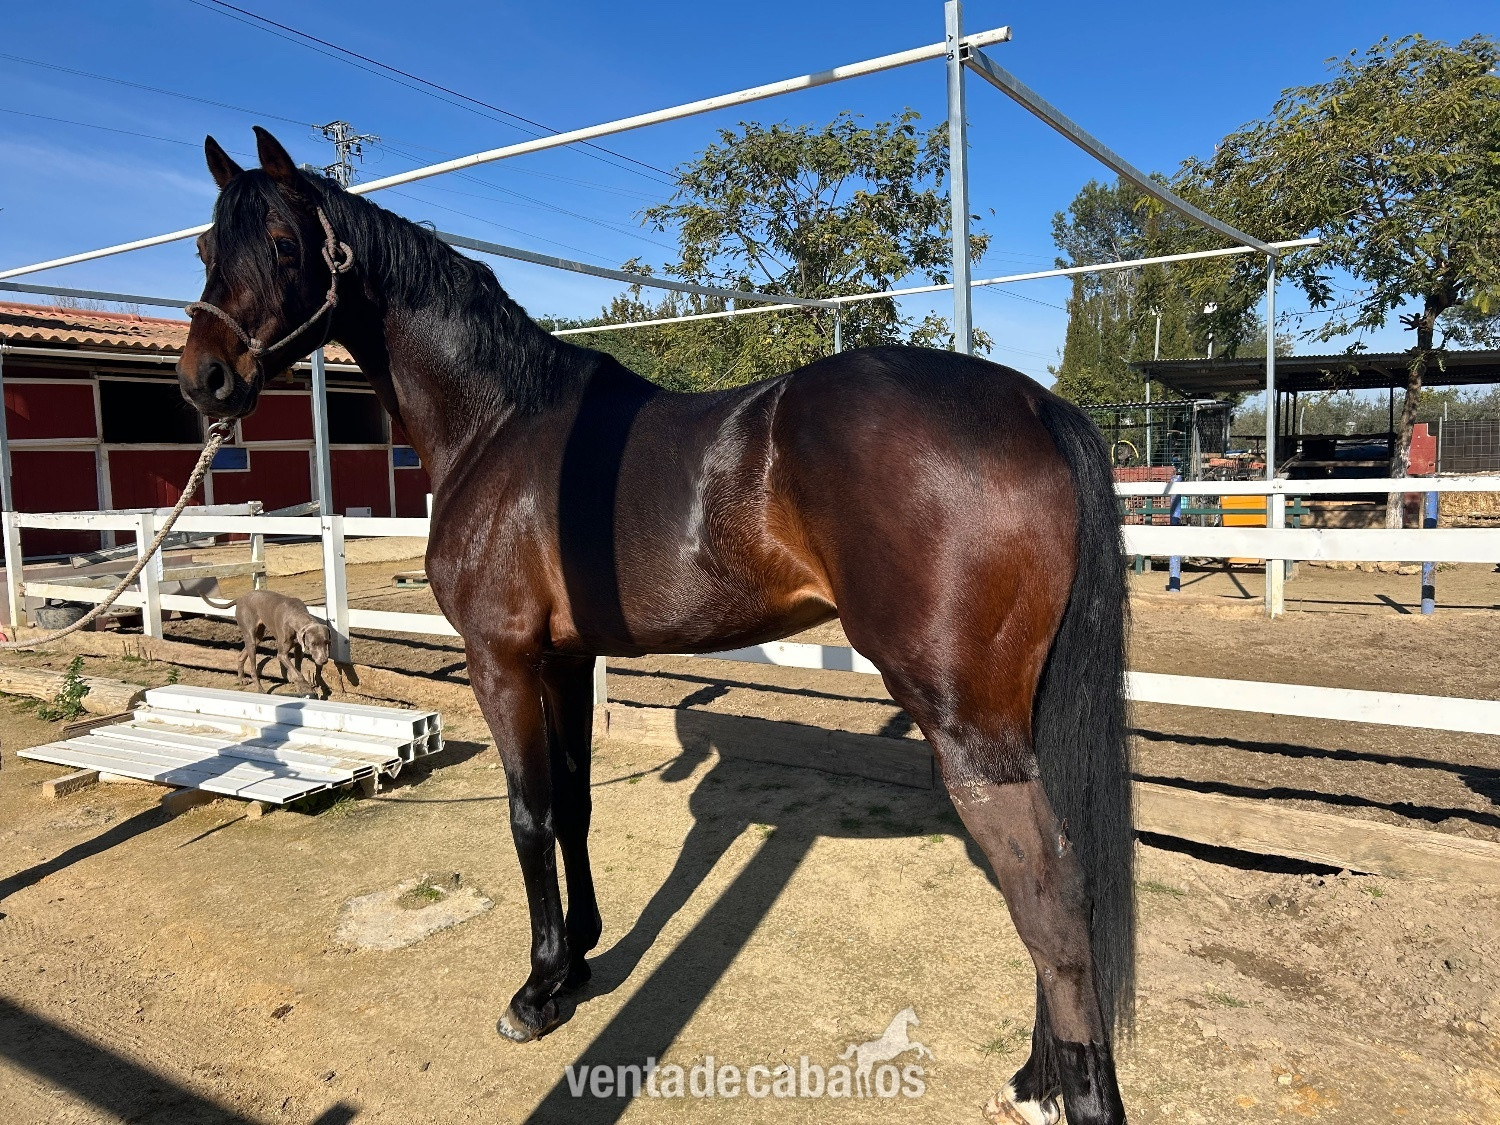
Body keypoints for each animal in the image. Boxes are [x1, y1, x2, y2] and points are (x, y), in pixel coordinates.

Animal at [176, 128, 1136, 1125]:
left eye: (283, 246)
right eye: (206, 246)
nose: (203, 380)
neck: (501, 424)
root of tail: (1033, 403)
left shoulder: (502, 659)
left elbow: (528, 815)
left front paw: (535, 990)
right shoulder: (565, 660)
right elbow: (573, 803)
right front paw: (579, 959)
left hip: (965, 720)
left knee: (1048, 891)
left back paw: (1076, 1093)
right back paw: (1037, 1078)